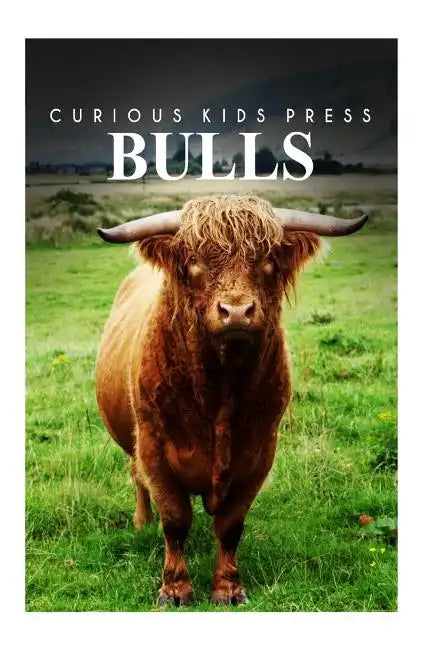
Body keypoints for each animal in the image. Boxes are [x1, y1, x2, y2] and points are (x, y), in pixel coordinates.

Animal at [95, 195, 367, 606]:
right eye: (195, 260)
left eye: (267, 258)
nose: (236, 311)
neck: (218, 394)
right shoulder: (154, 446)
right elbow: (175, 519)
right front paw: (174, 589)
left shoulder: (259, 452)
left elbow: (230, 524)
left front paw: (228, 587)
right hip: (132, 439)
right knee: (137, 479)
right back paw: (142, 523)